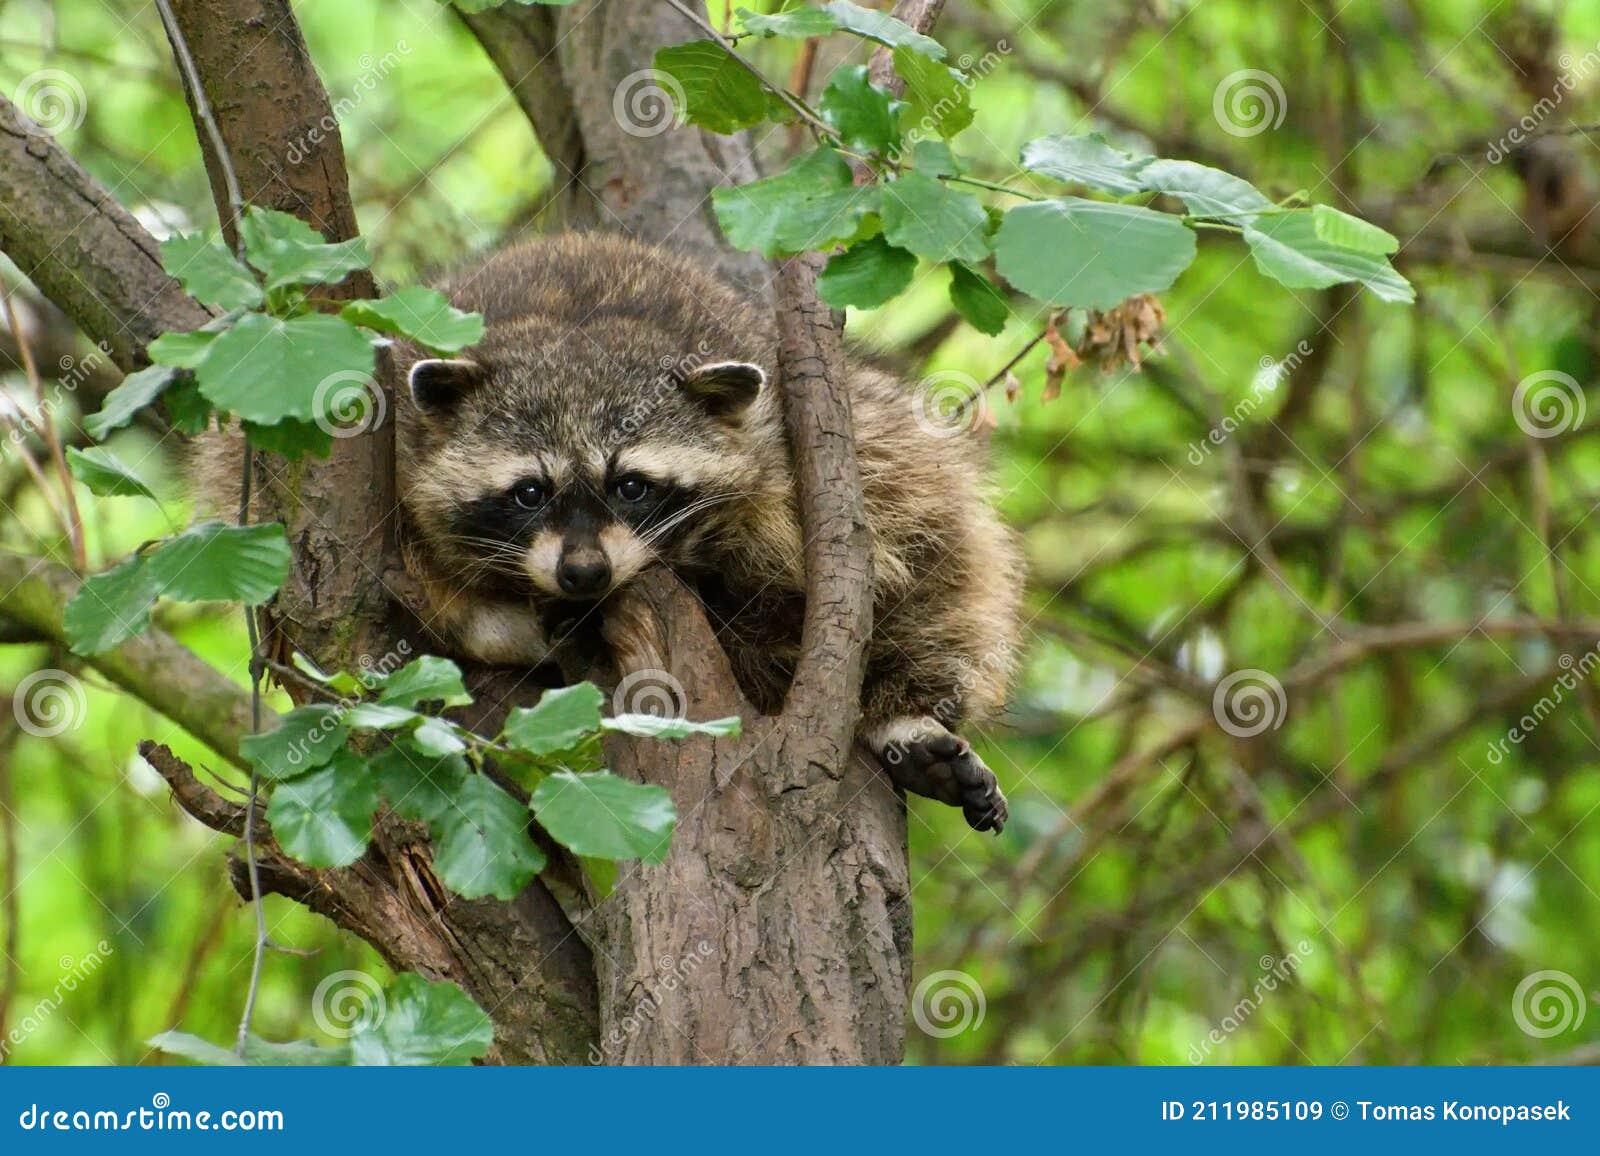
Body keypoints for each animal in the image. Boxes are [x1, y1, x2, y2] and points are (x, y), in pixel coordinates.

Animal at [398, 235, 1021, 831]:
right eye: (530, 493)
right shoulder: (394, 454)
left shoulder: (787, 442)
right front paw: (524, 621)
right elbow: (427, 599)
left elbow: (918, 536)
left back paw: (902, 716)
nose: (584, 573)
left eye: (631, 486)